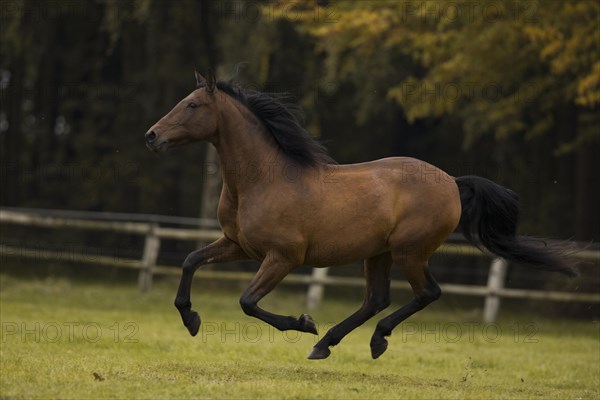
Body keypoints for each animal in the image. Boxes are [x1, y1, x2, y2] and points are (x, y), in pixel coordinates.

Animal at [145, 72, 576, 360]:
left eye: (193, 105)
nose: (152, 136)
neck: (262, 179)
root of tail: (452, 182)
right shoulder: (238, 245)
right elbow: (190, 261)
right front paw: (191, 320)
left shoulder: (282, 257)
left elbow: (248, 302)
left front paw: (304, 323)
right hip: (378, 254)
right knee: (377, 299)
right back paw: (326, 345)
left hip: (409, 252)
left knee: (426, 293)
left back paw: (369, 340)